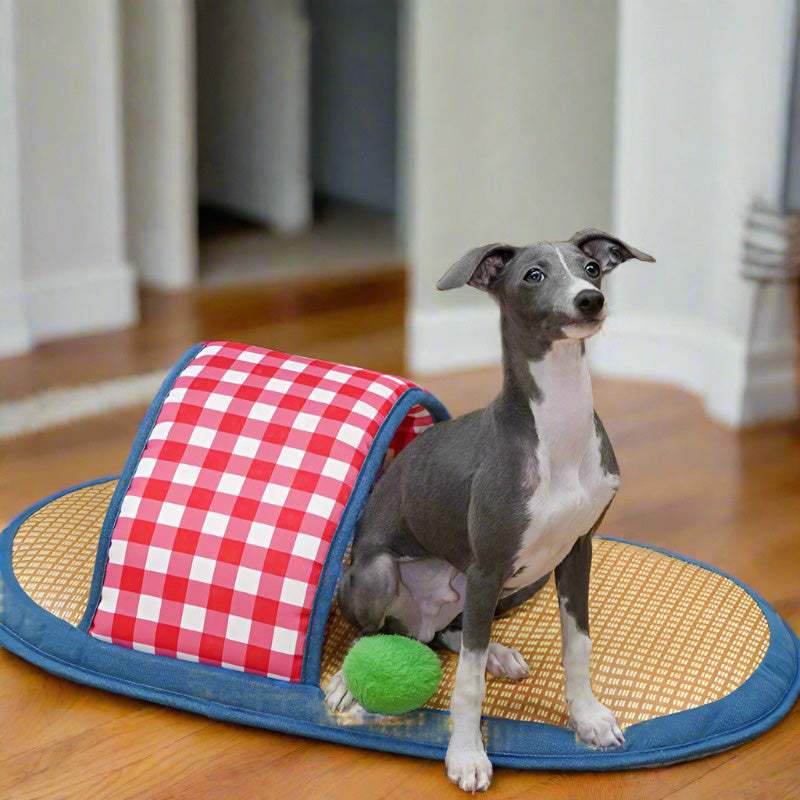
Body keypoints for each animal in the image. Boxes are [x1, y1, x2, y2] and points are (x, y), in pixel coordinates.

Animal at [324, 228, 656, 792]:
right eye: (533, 275)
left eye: (591, 267)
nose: (590, 300)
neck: (558, 428)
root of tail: (418, 622)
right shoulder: (487, 566)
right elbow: (468, 687)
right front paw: (466, 755)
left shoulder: (577, 552)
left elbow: (577, 645)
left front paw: (588, 717)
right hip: (381, 571)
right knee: (375, 632)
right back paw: (351, 680)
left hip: (490, 589)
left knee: (452, 635)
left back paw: (495, 651)